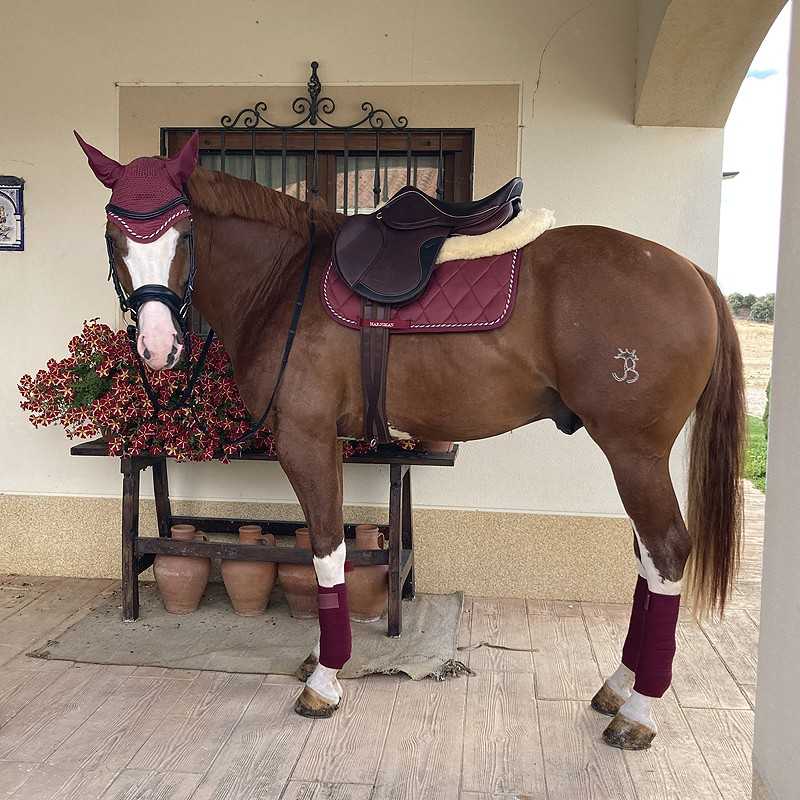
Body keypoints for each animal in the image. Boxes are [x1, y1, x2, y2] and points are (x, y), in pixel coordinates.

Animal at [75, 131, 744, 751]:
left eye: (186, 234)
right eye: (113, 238)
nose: (158, 346)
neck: (285, 281)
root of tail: (690, 272)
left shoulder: (305, 438)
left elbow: (327, 551)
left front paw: (325, 679)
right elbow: (329, 551)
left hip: (634, 452)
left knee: (666, 552)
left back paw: (639, 709)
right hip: (634, 456)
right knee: (647, 558)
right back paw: (620, 684)